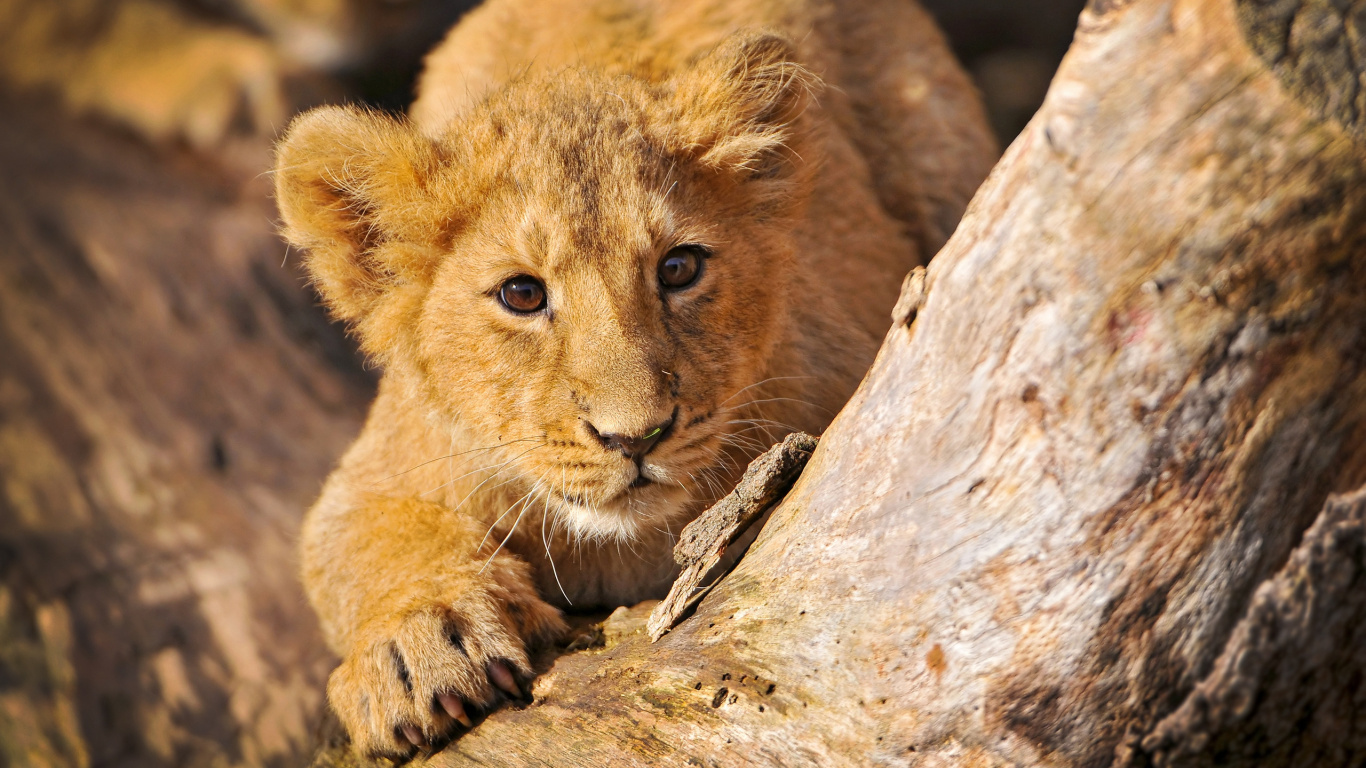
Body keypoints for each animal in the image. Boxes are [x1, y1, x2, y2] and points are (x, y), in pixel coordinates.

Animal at [273, 0, 995, 758]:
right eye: (522, 294)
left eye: (679, 268)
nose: (636, 438)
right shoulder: (381, 465)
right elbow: (365, 542)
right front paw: (419, 644)